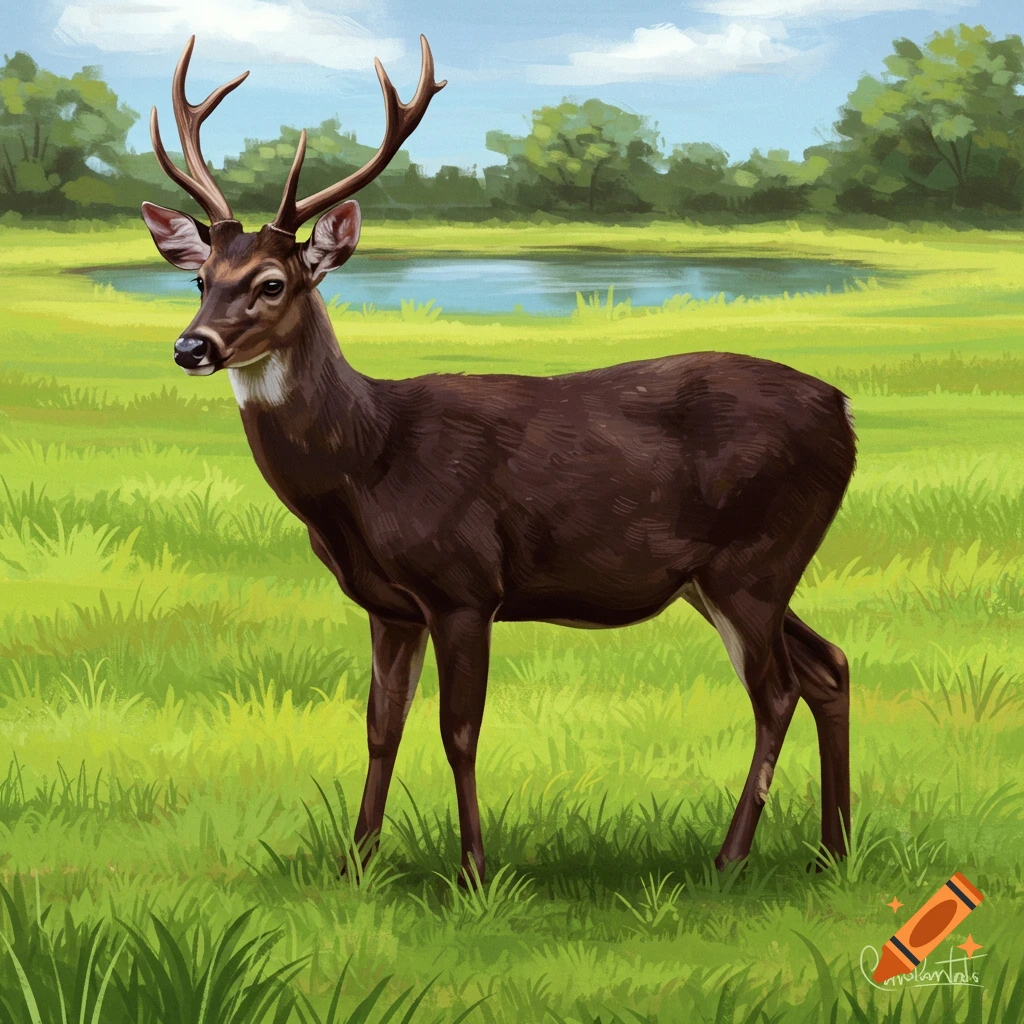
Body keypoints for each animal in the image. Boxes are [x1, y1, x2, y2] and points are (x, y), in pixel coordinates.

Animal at [140, 35, 856, 885]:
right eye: (199, 277)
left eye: (273, 282)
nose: (191, 346)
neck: (369, 463)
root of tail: (845, 412)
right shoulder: (390, 605)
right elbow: (380, 726)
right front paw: (357, 865)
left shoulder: (465, 583)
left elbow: (459, 732)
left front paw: (475, 872)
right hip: (736, 573)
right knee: (829, 664)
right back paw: (833, 850)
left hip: (755, 559)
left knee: (777, 691)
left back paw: (731, 857)